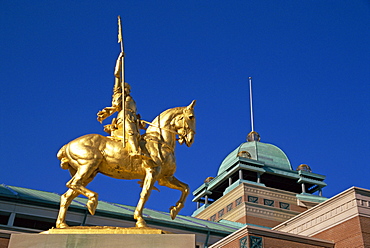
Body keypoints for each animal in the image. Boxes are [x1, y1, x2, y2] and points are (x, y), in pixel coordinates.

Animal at [55, 100, 197, 228]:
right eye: (191, 116)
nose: (190, 140)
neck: (160, 140)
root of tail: (67, 145)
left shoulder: (165, 178)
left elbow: (186, 188)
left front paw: (174, 210)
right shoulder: (152, 172)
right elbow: (145, 194)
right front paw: (140, 220)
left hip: (89, 174)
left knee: (67, 196)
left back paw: (62, 225)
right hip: (89, 165)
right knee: (73, 183)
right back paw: (92, 201)